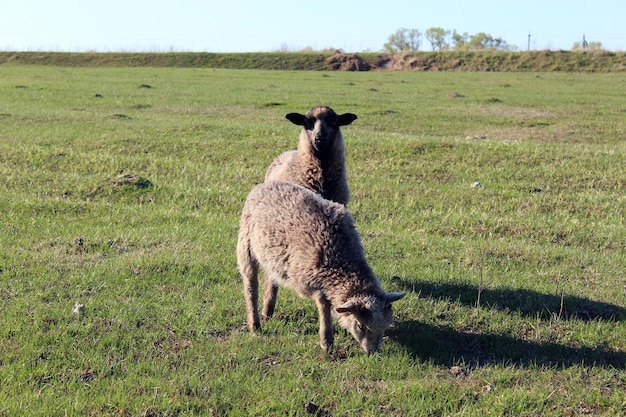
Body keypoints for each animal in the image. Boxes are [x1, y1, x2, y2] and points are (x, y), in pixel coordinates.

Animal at [235, 180, 404, 352]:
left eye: (385, 326)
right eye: (361, 326)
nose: (373, 352)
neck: (341, 264)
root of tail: (265, 184)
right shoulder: (312, 278)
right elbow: (324, 306)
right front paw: (326, 342)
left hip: (273, 255)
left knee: (271, 278)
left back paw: (267, 312)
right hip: (246, 247)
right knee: (251, 287)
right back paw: (255, 325)